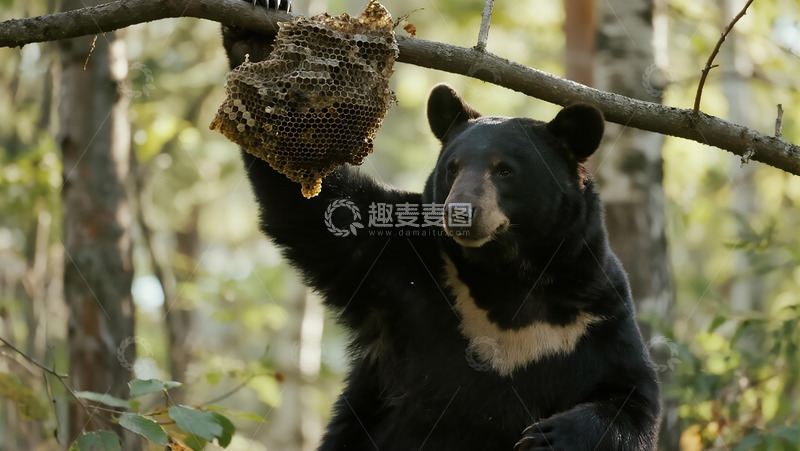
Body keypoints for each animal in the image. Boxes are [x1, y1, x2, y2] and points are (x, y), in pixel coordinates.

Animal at [221, 2, 661, 449]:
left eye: (505, 170)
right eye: (453, 167)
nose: (459, 212)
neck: (508, 272)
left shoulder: (593, 315)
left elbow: (629, 394)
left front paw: (550, 435)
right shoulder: (404, 270)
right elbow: (319, 217)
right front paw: (258, 42)